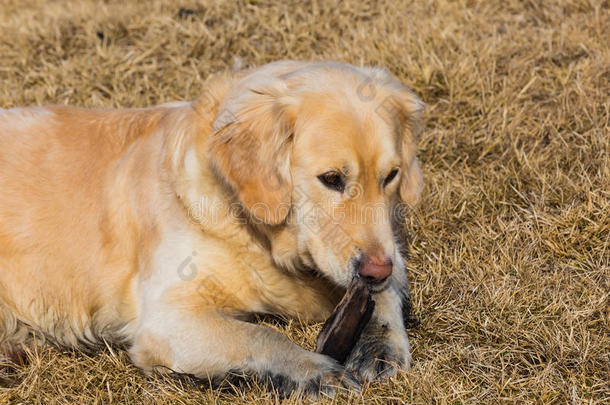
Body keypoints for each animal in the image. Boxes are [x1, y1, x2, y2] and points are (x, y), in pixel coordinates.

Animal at [0, 61, 420, 396]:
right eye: (331, 179)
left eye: (391, 176)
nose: (375, 269)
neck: (255, 234)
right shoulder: (167, 317)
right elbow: (260, 334)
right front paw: (313, 371)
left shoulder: (386, 254)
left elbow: (388, 288)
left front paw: (380, 345)